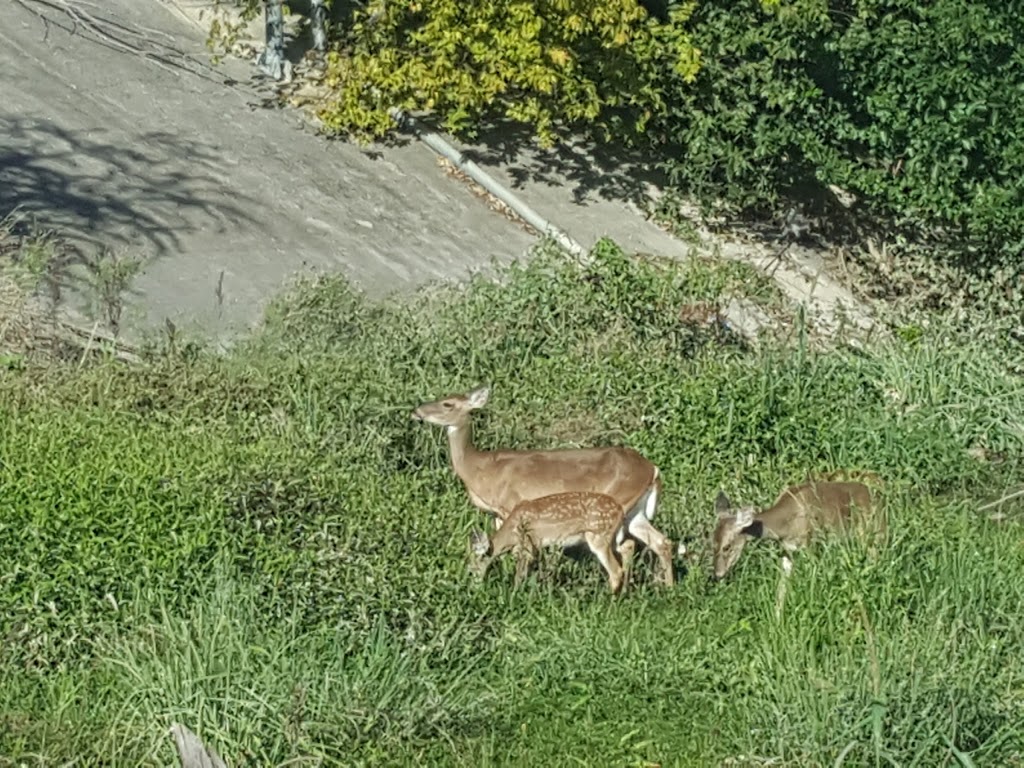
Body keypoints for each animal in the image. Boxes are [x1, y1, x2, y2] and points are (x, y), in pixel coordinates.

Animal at [468, 493, 626, 593]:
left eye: (473, 567)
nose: (474, 588)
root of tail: (620, 510)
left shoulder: (527, 545)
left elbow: (519, 576)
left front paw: (514, 595)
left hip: (599, 537)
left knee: (616, 571)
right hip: (611, 539)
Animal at [708, 479, 884, 581]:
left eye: (727, 547)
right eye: (712, 544)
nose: (718, 574)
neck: (785, 527)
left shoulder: (810, 543)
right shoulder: (787, 551)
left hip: (871, 533)